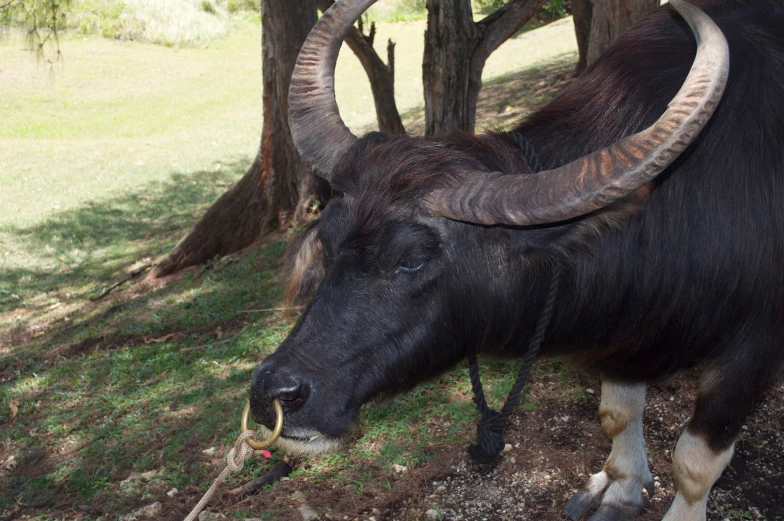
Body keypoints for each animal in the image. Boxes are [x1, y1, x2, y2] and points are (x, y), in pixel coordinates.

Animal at [248, 2, 780, 516]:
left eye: (412, 258)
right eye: (328, 242)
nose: (272, 393)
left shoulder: (751, 354)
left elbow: (694, 464)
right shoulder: (623, 338)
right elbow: (616, 414)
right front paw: (621, 489)